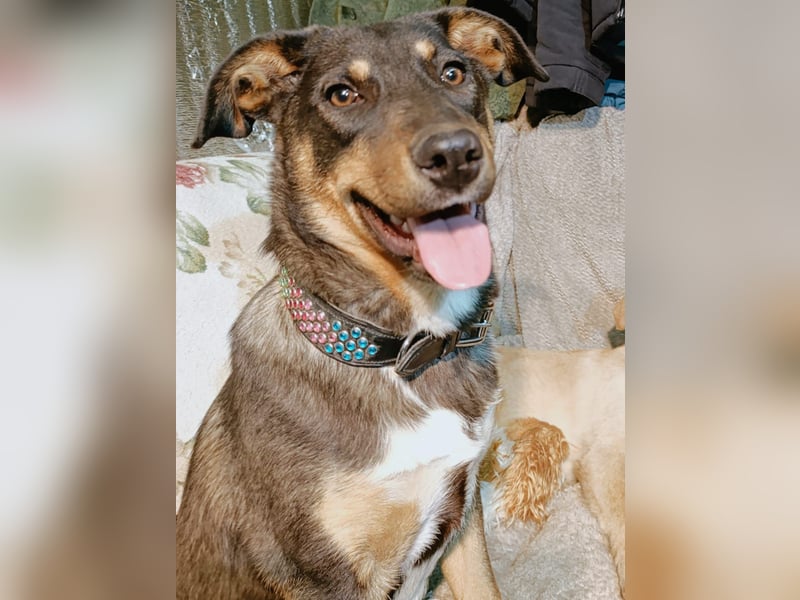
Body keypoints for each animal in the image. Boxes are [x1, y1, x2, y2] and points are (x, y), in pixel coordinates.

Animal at [177, 8, 548, 599]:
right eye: (343, 94)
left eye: (452, 73)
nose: (454, 155)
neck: (404, 349)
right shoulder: (326, 573)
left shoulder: (463, 516)